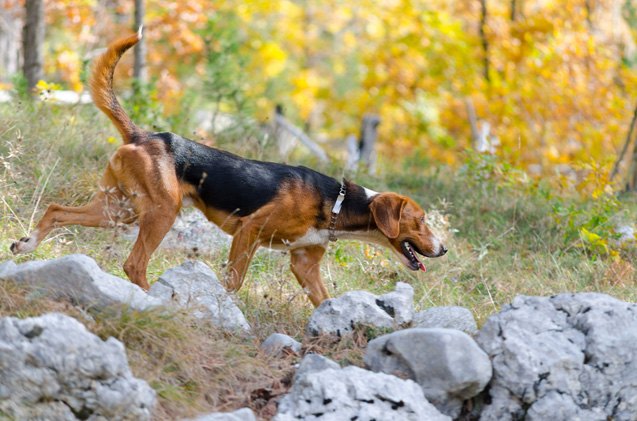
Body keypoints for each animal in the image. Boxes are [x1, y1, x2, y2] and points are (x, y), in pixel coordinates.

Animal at [9, 28, 448, 306]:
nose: (443, 249)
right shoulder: (248, 232)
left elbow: (324, 300)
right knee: (133, 263)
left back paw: (26, 244)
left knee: (57, 210)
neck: (336, 203)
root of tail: (143, 134)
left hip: (119, 208)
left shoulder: (305, 265)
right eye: (421, 220)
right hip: (159, 211)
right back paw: (152, 296)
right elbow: (234, 281)